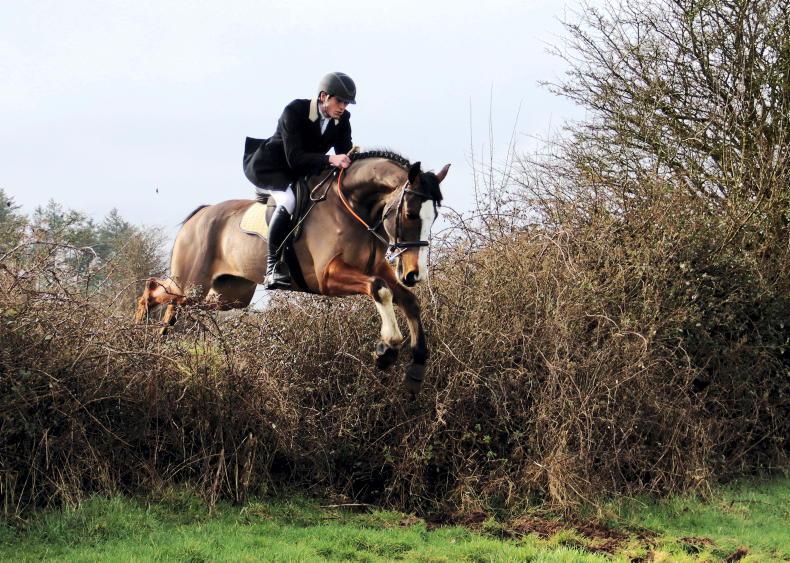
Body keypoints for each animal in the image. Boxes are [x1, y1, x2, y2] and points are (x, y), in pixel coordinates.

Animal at [135, 151, 450, 396]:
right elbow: (379, 288)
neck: (354, 207)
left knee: (171, 302)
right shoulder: (327, 277)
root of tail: (200, 214)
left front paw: (416, 366)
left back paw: (153, 339)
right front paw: (388, 347)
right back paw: (138, 335)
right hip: (193, 283)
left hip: (228, 296)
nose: (414, 274)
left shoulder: (375, 267)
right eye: (410, 214)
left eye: (434, 216)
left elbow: (407, 299)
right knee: (154, 291)